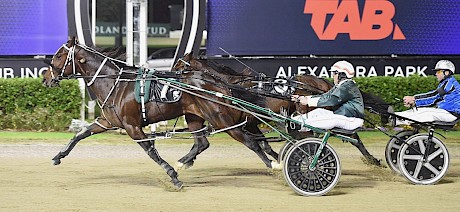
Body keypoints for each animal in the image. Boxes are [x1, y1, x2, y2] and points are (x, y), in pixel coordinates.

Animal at [42, 38, 280, 189]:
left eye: (60, 55)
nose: (46, 77)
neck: (116, 83)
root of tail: (217, 83)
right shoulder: (107, 121)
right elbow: (80, 135)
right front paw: (58, 157)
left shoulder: (132, 127)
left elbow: (151, 152)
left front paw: (174, 177)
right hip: (195, 117)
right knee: (202, 143)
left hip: (221, 119)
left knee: (252, 143)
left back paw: (275, 166)